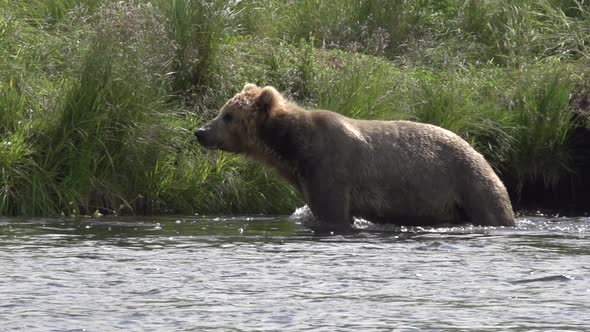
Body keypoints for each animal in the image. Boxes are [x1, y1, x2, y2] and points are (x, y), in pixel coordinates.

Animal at [197, 83, 516, 231]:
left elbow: (333, 213)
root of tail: (481, 154)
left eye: (228, 115)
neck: (292, 148)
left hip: (468, 182)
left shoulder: (328, 168)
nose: (201, 132)